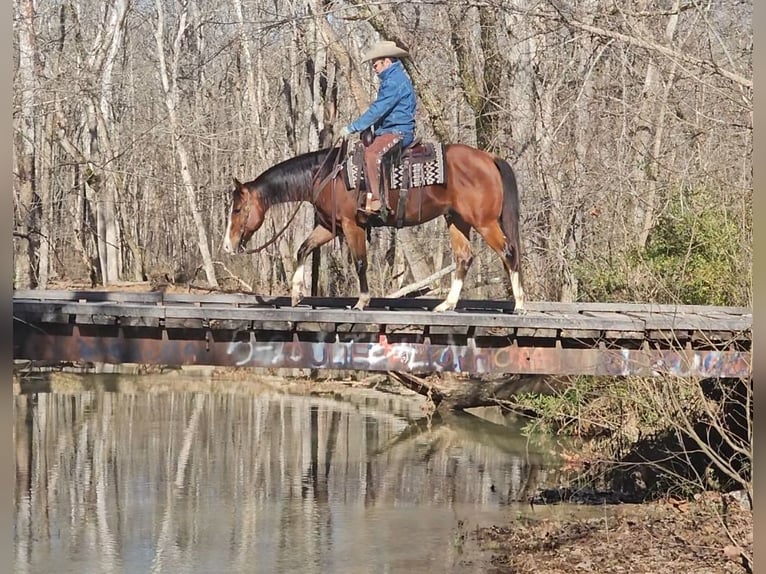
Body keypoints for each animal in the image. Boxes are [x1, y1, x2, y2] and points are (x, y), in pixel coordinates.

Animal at [219, 144, 524, 316]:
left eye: (237, 209)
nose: (227, 246)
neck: (326, 175)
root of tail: (489, 157)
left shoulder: (351, 225)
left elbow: (360, 262)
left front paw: (362, 301)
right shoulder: (328, 227)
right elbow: (303, 249)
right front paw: (296, 293)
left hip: (484, 221)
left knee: (508, 252)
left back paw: (520, 305)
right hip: (457, 220)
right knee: (464, 258)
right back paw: (446, 305)